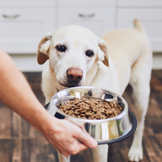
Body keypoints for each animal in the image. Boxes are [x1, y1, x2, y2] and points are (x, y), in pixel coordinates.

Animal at [37, 19, 153, 162]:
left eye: (90, 53)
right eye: (61, 48)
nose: (74, 75)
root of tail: (137, 30)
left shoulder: (100, 149)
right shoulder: (63, 142)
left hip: (141, 94)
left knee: (141, 125)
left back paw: (136, 150)